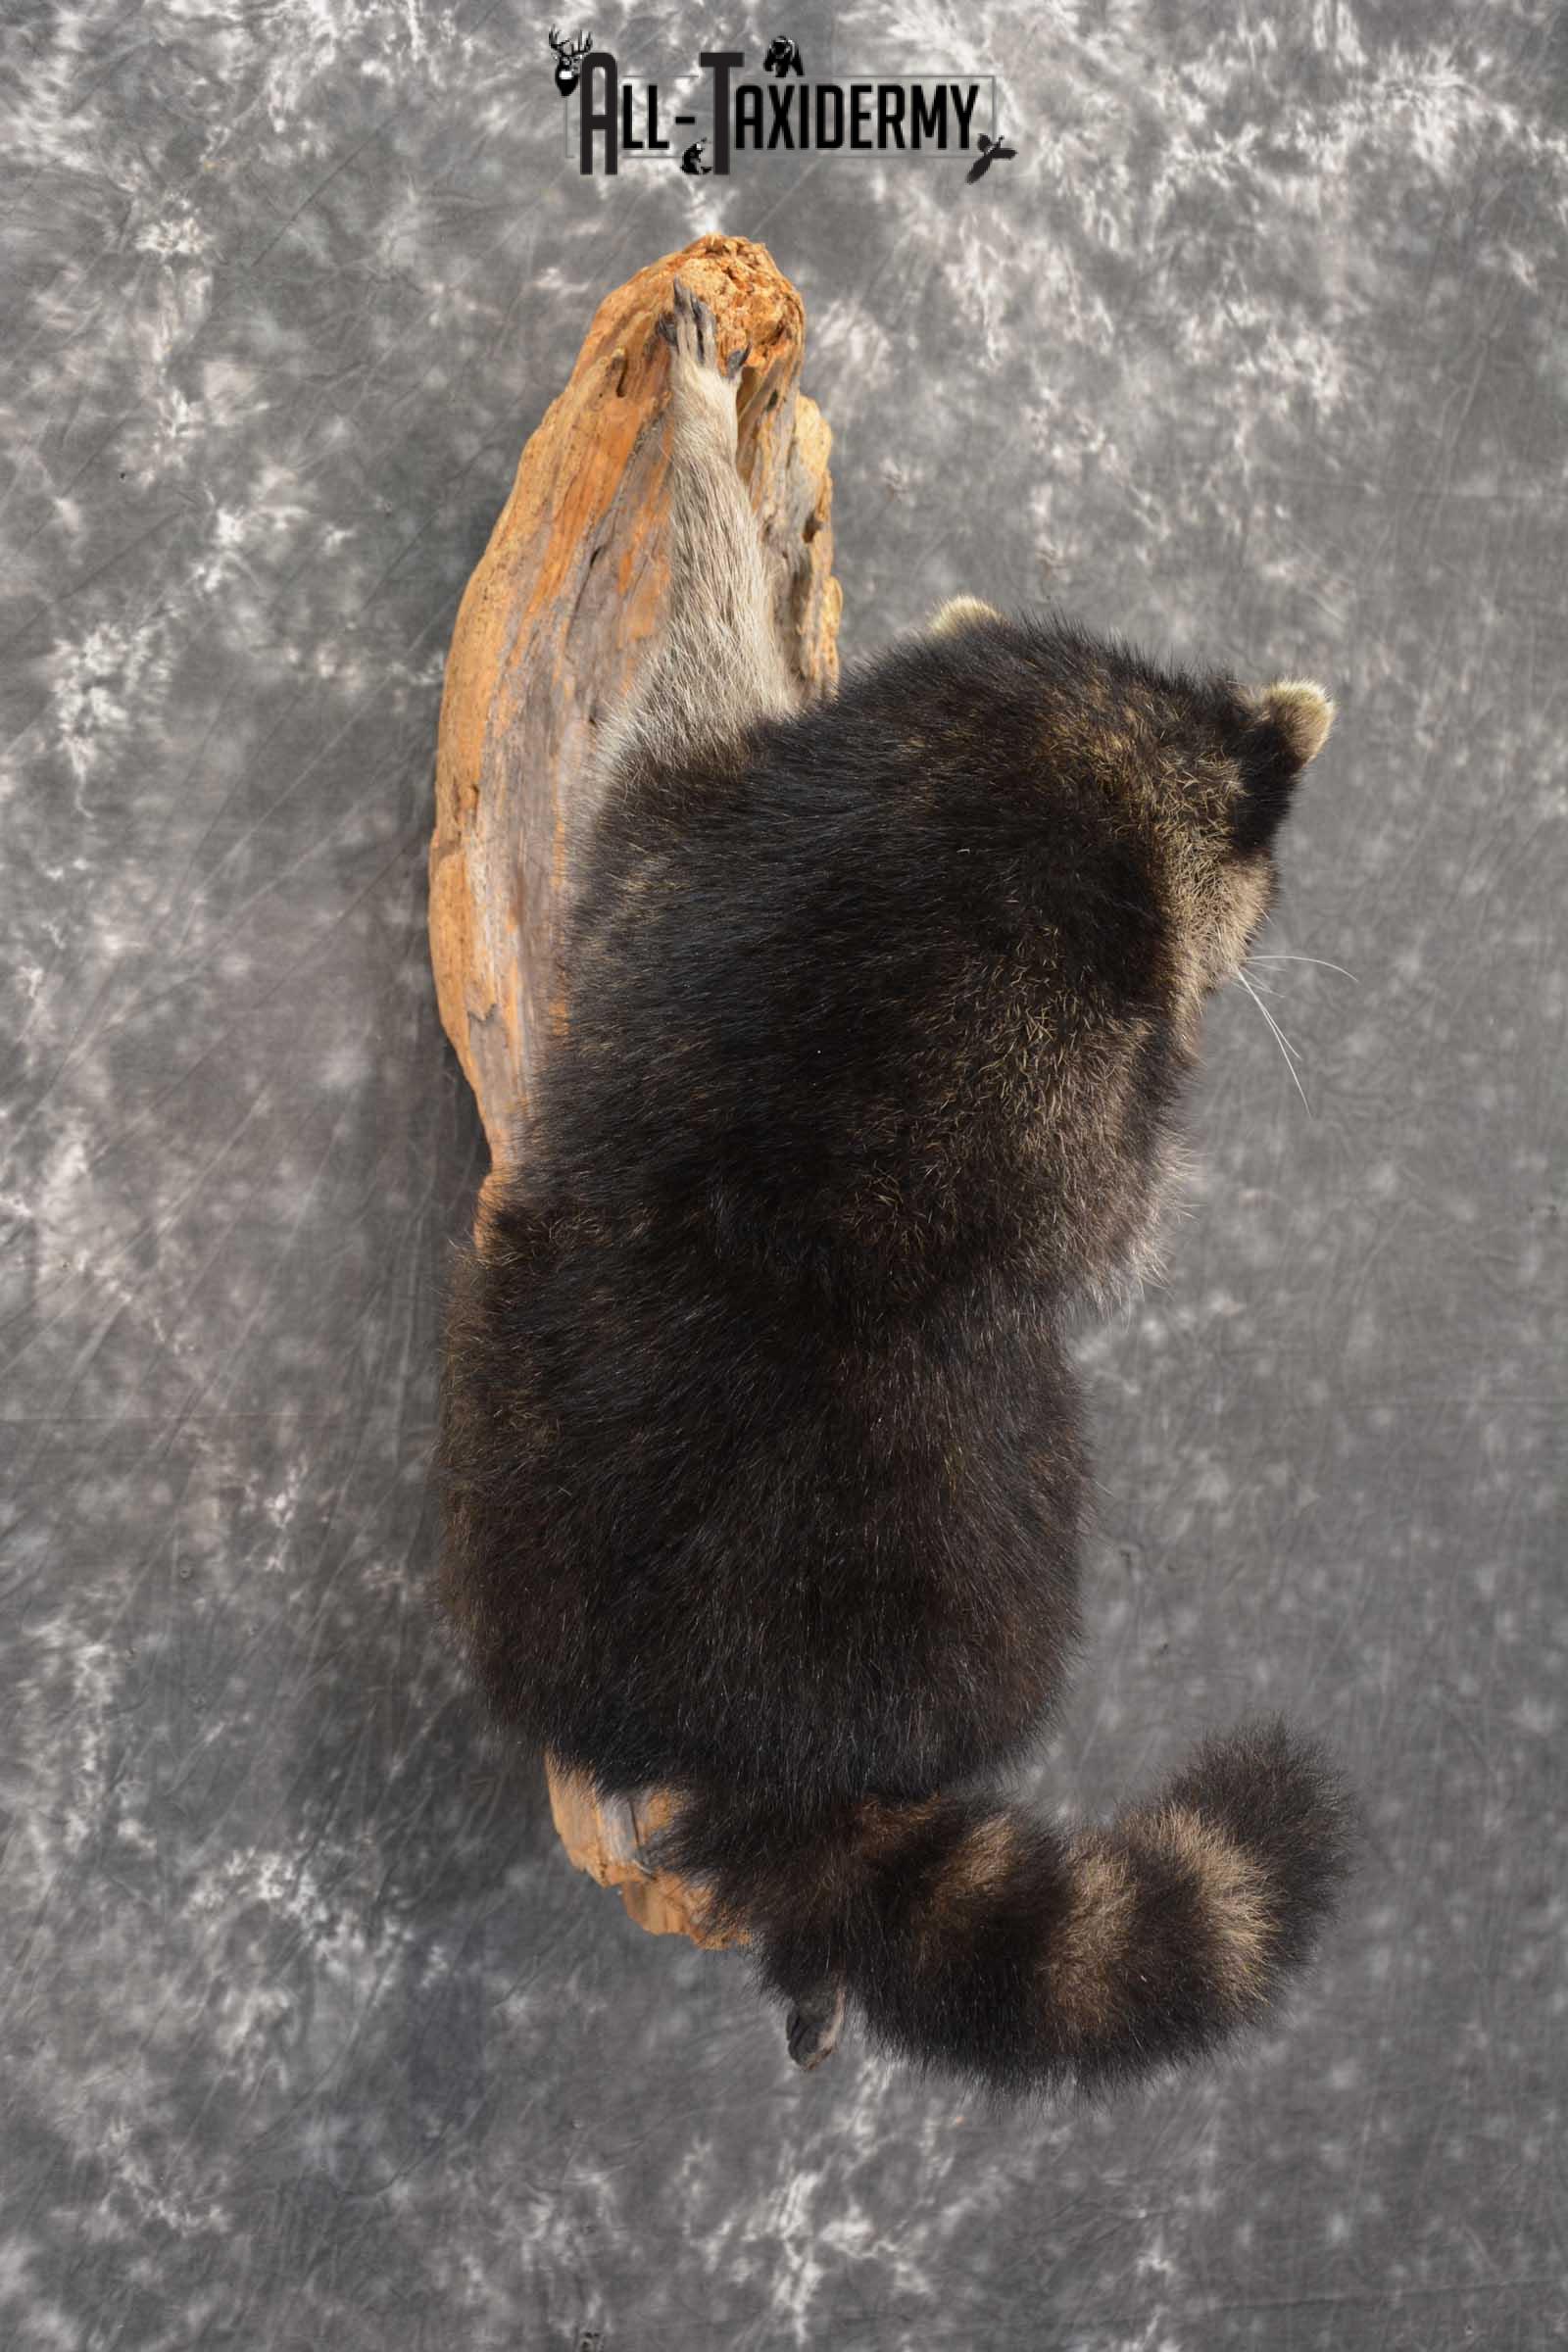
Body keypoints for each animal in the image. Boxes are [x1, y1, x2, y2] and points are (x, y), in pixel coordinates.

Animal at [436, 277, 1353, 2092]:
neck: (1040, 789)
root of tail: (791, 1745)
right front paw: (707, 478)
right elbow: (680, 692)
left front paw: (705, 476)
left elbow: (662, 750)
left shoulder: (710, 841)